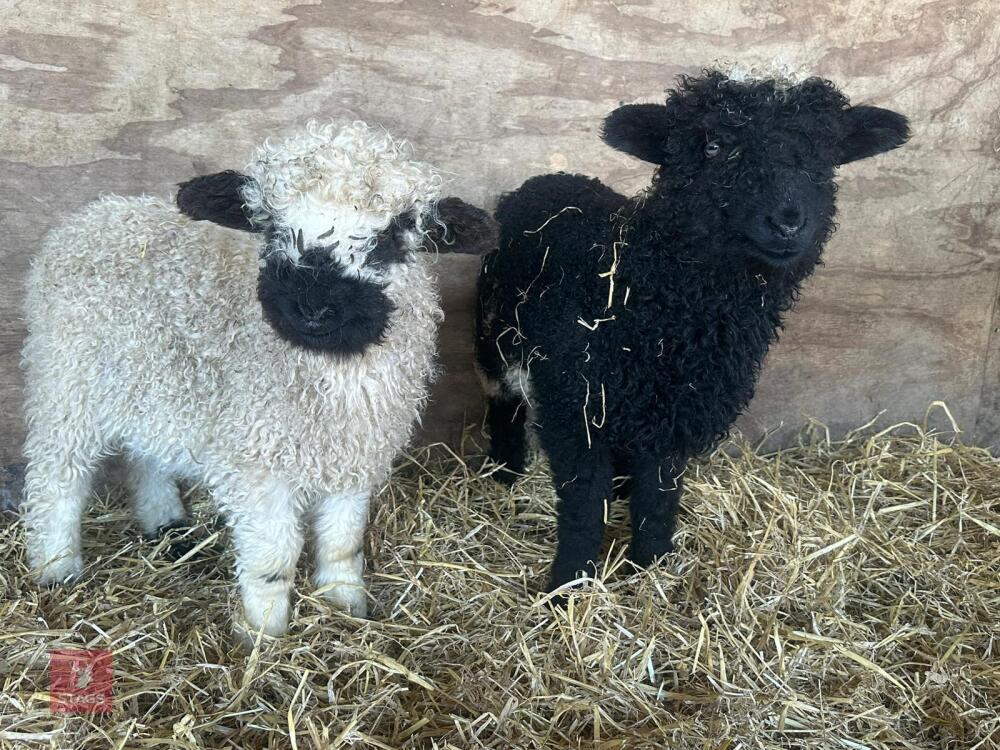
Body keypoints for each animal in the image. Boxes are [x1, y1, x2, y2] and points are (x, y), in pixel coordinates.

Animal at [21, 120, 490, 636]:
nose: (312, 307)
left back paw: (166, 524)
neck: (329, 374)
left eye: (390, 236)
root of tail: (95, 214)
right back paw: (56, 568)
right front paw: (266, 633)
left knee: (146, 455)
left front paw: (345, 604)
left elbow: (343, 541)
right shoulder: (257, 464)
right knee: (56, 477)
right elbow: (273, 555)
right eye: (271, 226)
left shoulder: (356, 456)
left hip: (153, 385)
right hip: (68, 383)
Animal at [474, 70, 910, 595]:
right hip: (494, 344)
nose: (788, 222)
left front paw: (652, 569)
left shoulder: (673, 415)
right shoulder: (573, 408)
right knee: (503, 404)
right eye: (714, 146)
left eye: (825, 151)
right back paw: (504, 475)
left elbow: (658, 499)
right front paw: (569, 587)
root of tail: (550, 178)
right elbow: (582, 506)